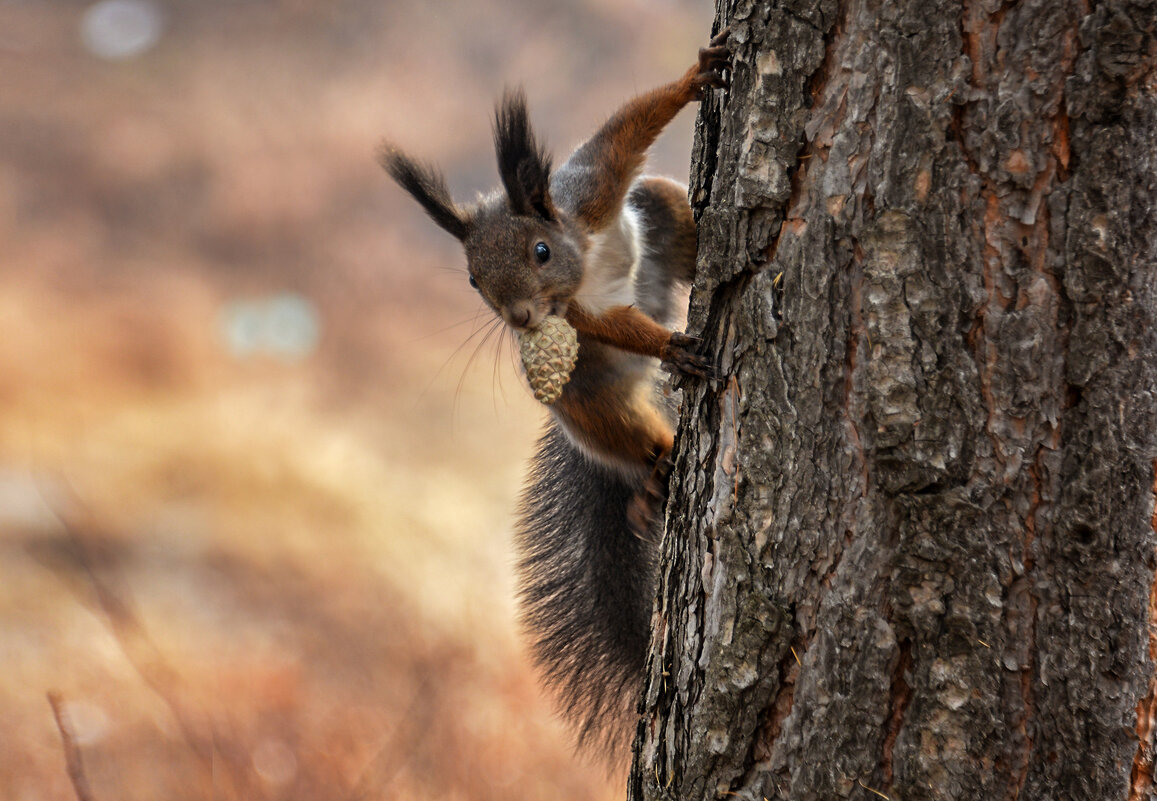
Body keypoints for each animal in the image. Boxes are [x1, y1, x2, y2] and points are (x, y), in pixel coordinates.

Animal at [381, 29, 731, 759]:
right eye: (472, 279)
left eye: (540, 251)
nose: (520, 319)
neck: (583, 262)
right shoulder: (579, 318)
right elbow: (615, 324)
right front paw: (673, 347)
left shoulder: (593, 189)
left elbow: (627, 129)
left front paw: (694, 79)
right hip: (590, 399)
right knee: (629, 438)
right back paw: (656, 473)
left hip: (656, 212)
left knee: (665, 209)